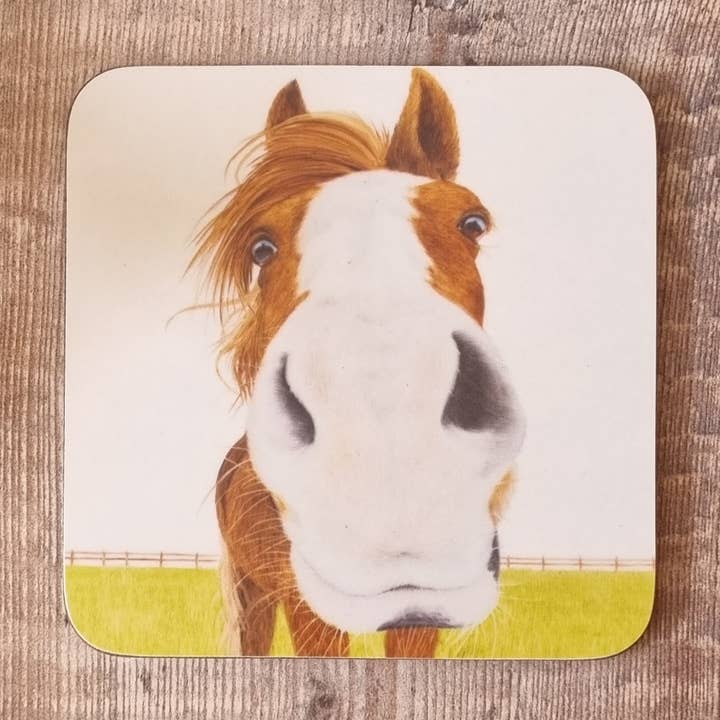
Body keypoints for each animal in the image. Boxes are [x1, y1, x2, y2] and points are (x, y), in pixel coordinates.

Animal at [193, 68, 525, 657]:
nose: (388, 453)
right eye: (261, 247)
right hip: (254, 592)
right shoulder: (305, 607)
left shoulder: (419, 622)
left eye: (473, 222)